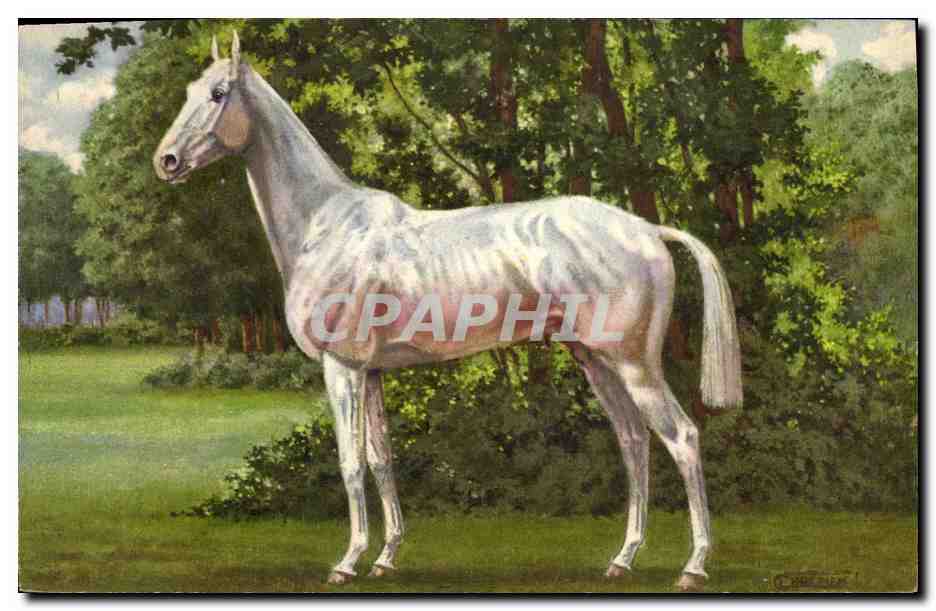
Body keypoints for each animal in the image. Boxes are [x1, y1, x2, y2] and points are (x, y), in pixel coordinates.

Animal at [154, 32, 742, 592]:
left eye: (218, 93)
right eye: (189, 91)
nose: (167, 161)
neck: (325, 225)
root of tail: (646, 229)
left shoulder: (342, 367)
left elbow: (349, 464)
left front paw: (347, 563)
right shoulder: (371, 373)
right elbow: (381, 460)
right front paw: (386, 559)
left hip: (633, 363)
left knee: (682, 438)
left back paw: (694, 567)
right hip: (595, 360)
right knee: (634, 442)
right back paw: (622, 560)